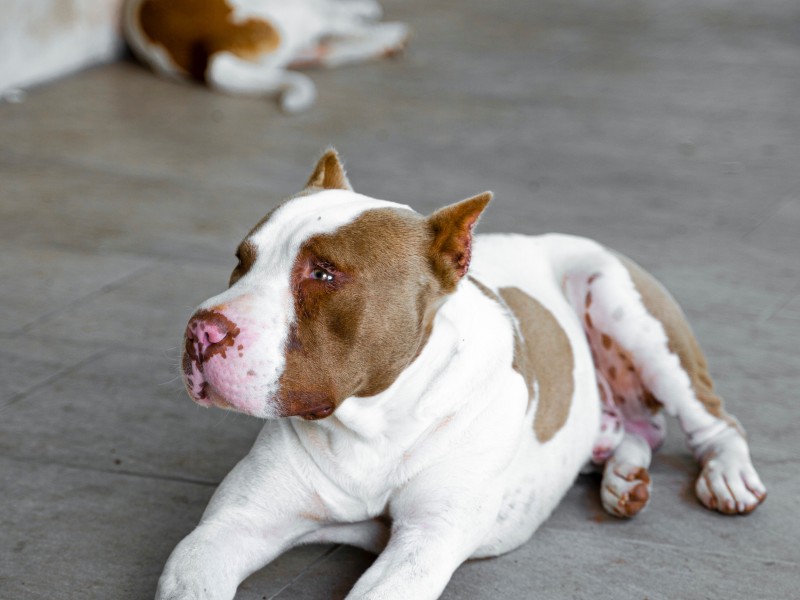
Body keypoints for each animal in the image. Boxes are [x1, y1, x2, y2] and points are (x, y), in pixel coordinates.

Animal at [158, 149, 768, 596]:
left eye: (325, 273)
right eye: (242, 259)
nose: (201, 331)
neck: (373, 424)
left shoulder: (424, 545)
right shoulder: (226, 530)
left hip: (626, 306)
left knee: (714, 420)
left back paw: (726, 475)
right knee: (646, 427)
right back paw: (624, 476)